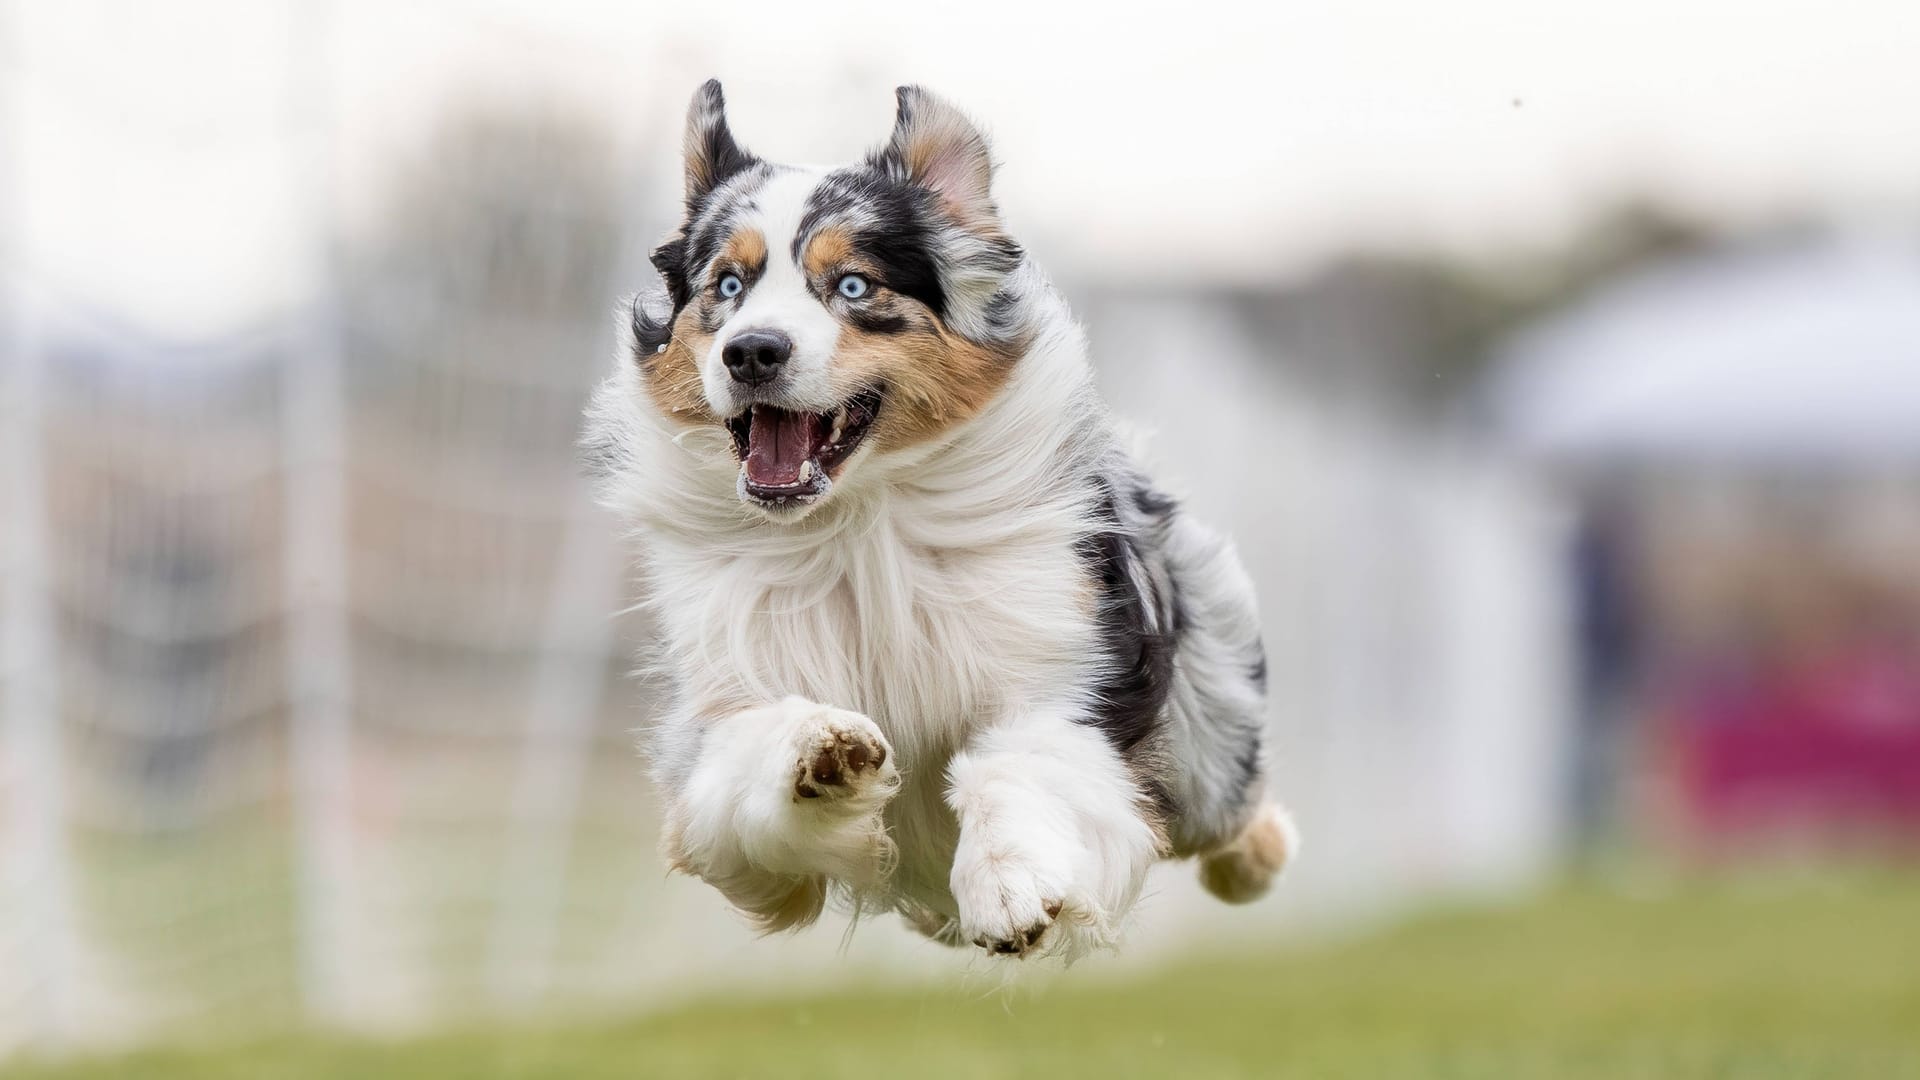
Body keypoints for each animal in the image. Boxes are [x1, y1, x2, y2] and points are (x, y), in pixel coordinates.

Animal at [587, 79, 1290, 949]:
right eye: (727, 285)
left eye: (854, 286)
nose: (751, 351)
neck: (857, 518)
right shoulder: (717, 730)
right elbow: (753, 758)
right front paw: (823, 757)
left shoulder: (1063, 669)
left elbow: (1016, 762)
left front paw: (1012, 886)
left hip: (1208, 723)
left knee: (1226, 799)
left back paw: (1256, 857)